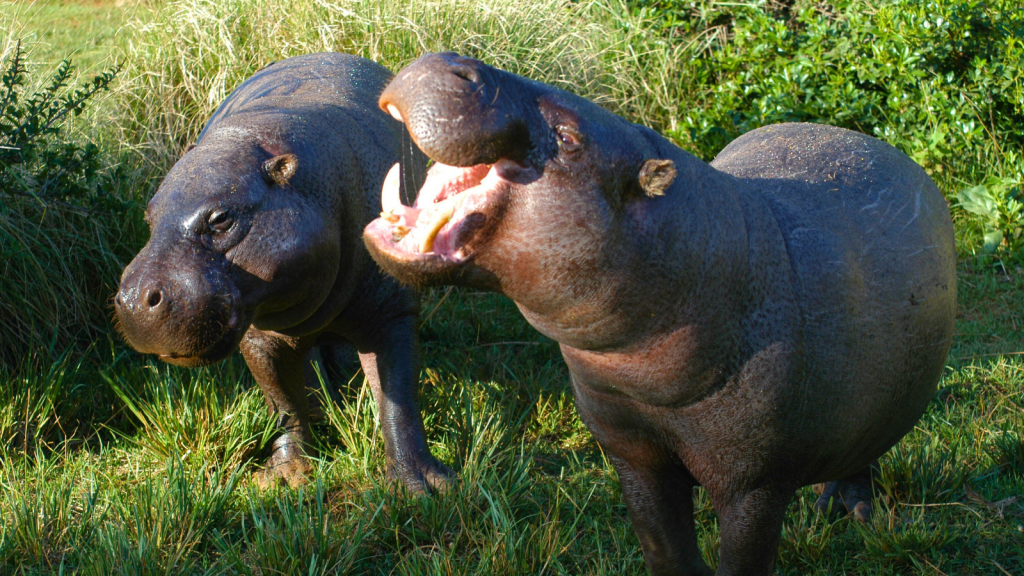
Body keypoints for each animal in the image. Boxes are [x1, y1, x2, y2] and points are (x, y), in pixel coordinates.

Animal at [114, 53, 450, 491]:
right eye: (149, 216)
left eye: (221, 218)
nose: (135, 299)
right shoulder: (258, 335)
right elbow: (283, 403)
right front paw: (285, 478)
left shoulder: (393, 313)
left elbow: (399, 400)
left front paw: (422, 487)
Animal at [364, 51, 954, 569]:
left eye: (569, 138)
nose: (448, 61)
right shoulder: (633, 453)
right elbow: (665, 548)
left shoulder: (756, 483)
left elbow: (743, 559)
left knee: (866, 450)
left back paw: (850, 513)